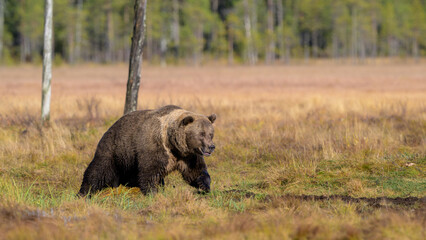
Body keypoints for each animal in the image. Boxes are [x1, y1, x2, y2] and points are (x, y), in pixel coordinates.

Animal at [77, 105, 216, 197]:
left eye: (211, 134)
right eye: (201, 134)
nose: (211, 147)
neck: (172, 143)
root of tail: (110, 126)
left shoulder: (188, 156)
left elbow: (195, 171)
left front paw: (205, 187)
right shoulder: (154, 148)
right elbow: (150, 173)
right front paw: (152, 193)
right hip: (115, 150)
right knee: (99, 170)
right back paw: (84, 192)